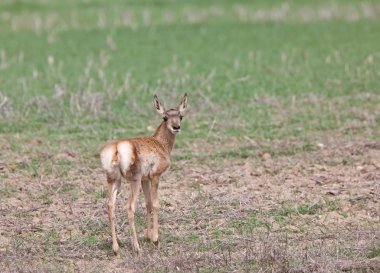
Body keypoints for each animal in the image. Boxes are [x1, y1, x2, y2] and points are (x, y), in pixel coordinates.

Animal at [100, 92, 188, 254]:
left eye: (180, 115)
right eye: (165, 117)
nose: (176, 127)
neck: (159, 143)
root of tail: (117, 148)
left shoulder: (145, 180)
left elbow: (148, 204)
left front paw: (148, 237)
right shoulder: (155, 177)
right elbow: (156, 204)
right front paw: (156, 240)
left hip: (115, 181)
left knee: (110, 206)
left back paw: (116, 248)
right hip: (133, 182)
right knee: (129, 207)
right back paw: (136, 248)